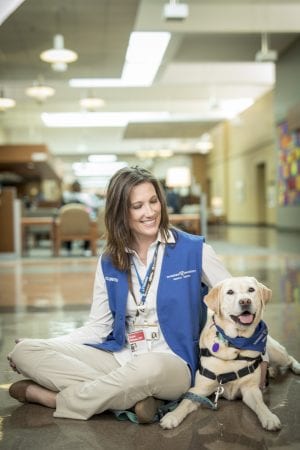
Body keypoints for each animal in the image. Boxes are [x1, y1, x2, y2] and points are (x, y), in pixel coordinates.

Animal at [161, 276, 300, 430]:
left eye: (251, 290)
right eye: (230, 292)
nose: (245, 301)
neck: (235, 345)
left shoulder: (250, 389)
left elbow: (261, 405)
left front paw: (269, 417)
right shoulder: (199, 389)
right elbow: (185, 402)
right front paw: (172, 416)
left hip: (275, 352)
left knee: (288, 357)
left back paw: (295, 367)